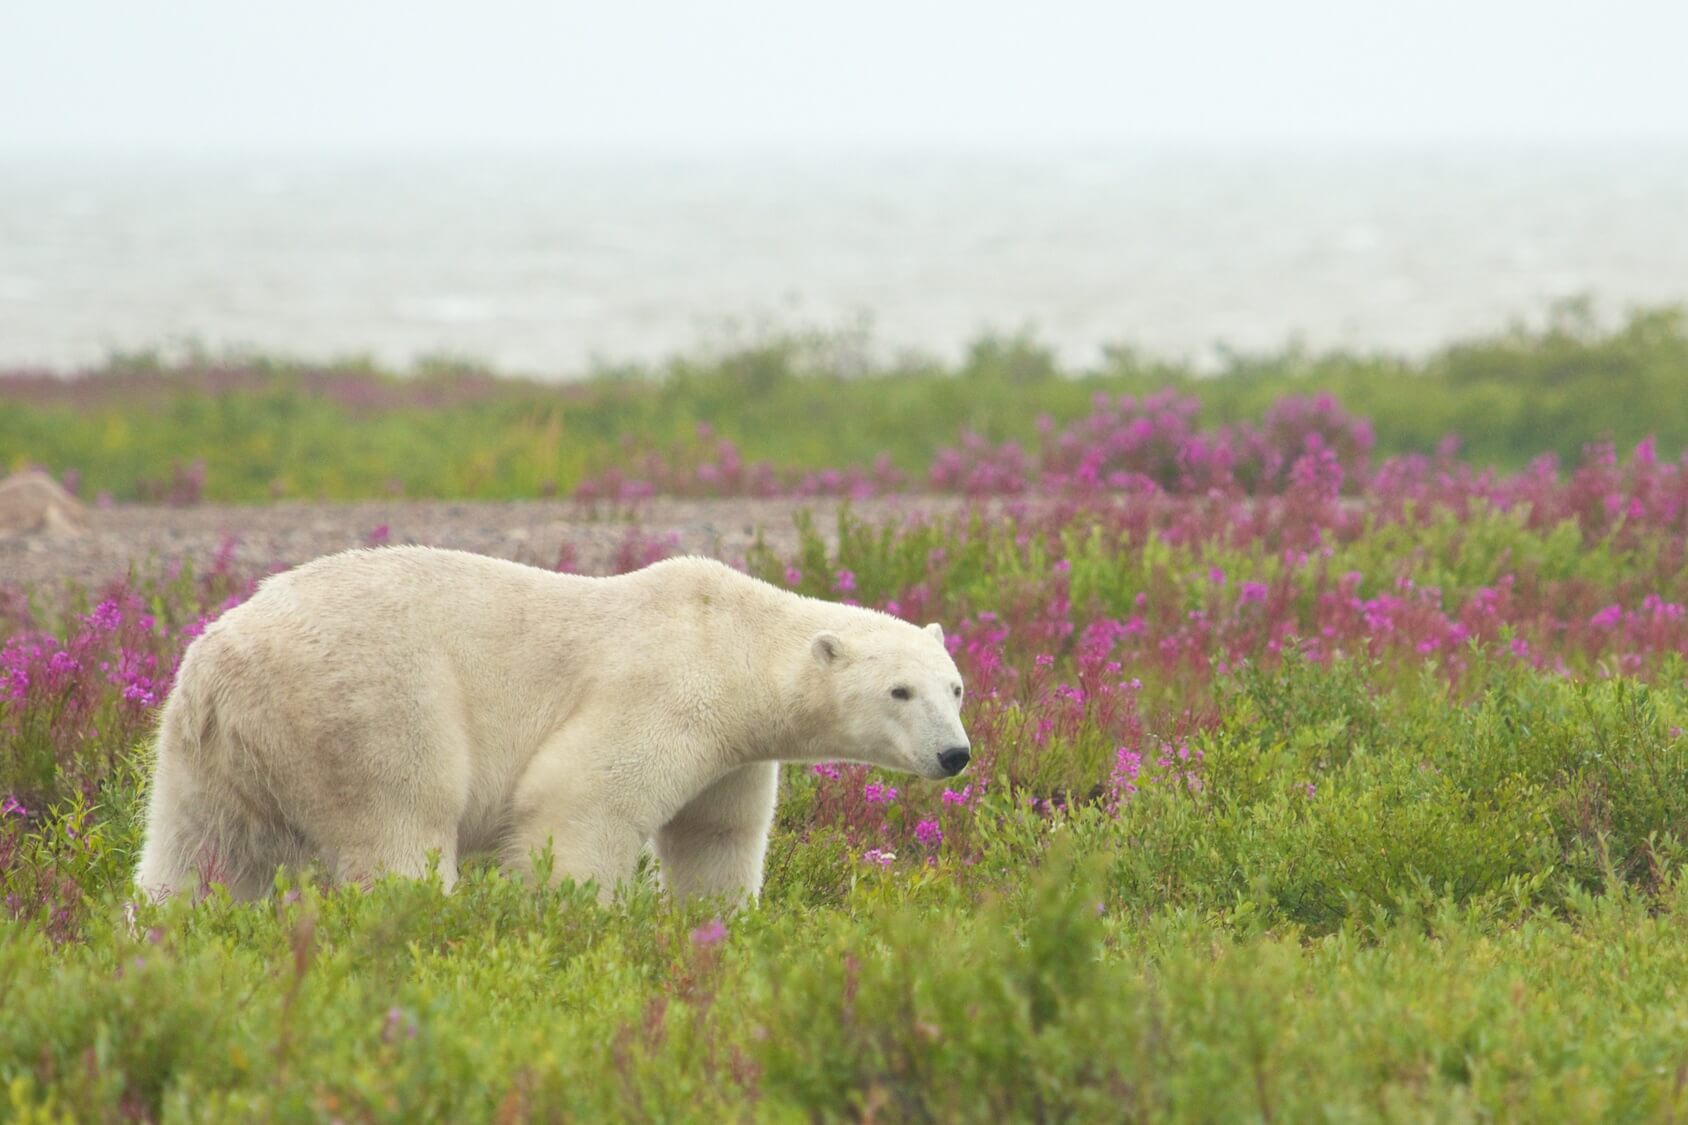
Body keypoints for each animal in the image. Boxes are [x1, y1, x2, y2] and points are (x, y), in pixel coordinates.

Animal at [136, 547, 972, 905]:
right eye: (900, 690)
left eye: (956, 686)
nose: (955, 753)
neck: (728, 637)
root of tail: (220, 665)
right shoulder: (663, 691)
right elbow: (579, 803)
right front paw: (575, 921)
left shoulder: (734, 753)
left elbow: (716, 839)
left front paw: (715, 926)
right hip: (370, 705)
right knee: (401, 824)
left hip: (206, 750)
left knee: (194, 853)